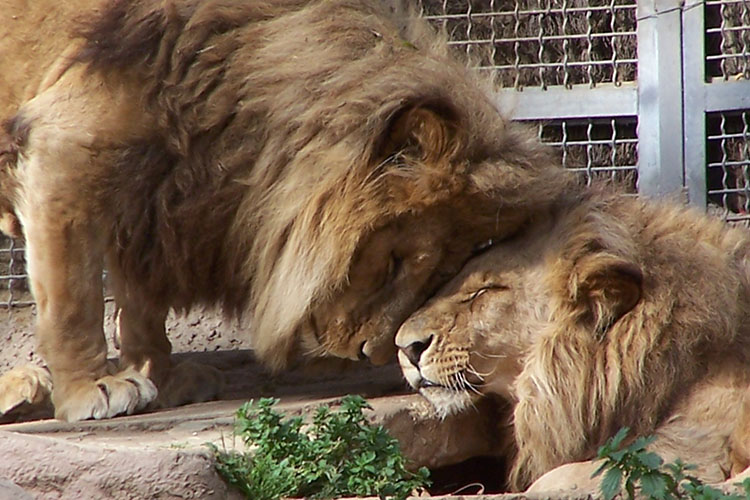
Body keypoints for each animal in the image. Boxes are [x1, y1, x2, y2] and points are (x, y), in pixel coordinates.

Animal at [0, 0, 576, 422]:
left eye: (438, 273)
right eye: (393, 262)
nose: (374, 354)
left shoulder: (152, 197)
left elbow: (143, 303)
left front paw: (163, 377)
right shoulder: (67, 145)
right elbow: (73, 299)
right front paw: (93, 387)